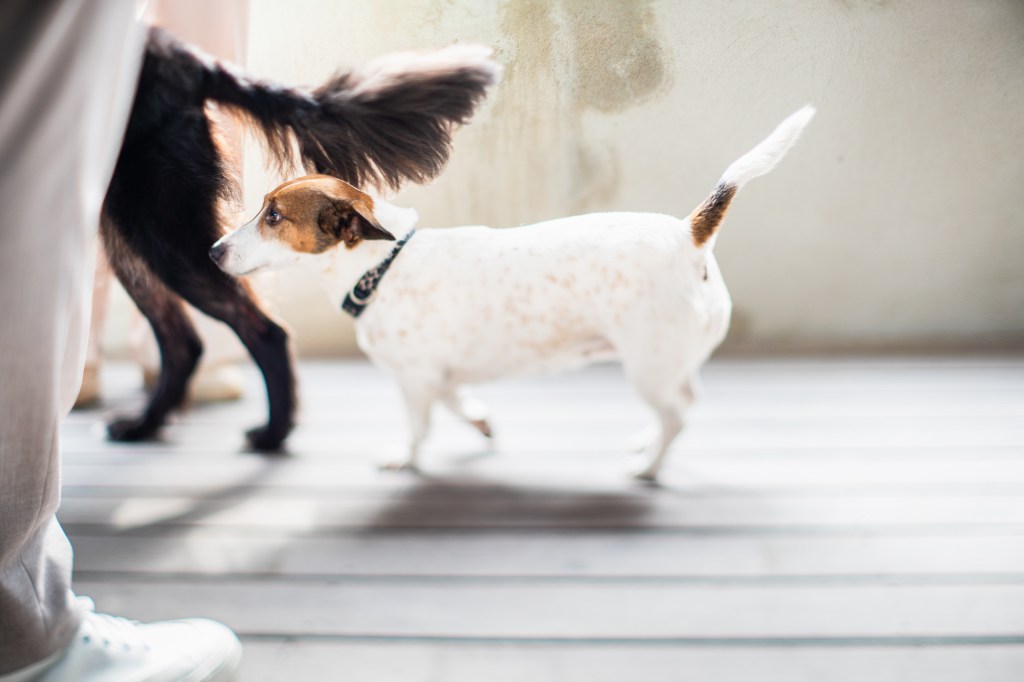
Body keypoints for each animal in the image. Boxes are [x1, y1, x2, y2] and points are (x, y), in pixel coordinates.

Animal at [100, 27, 498, 450]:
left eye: (274, 215)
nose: (216, 251)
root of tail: (190, 59)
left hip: (154, 226)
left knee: (255, 333)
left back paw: (269, 433)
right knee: (186, 340)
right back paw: (148, 424)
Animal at [210, 106, 814, 478]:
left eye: (272, 216)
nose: (212, 251)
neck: (383, 263)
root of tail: (688, 233)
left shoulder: (415, 378)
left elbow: (418, 426)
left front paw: (405, 456)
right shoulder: (439, 374)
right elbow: (457, 402)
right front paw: (479, 421)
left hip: (648, 363)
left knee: (680, 415)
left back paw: (647, 466)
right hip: (667, 364)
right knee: (680, 404)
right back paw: (647, 444)